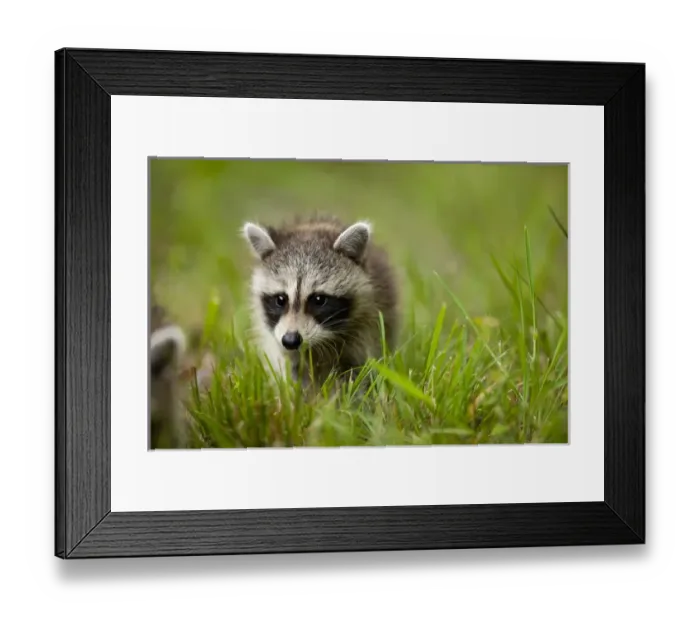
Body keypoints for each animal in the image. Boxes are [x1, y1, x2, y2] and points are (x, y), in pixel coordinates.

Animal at [242, 215, 399, 386]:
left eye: (318, 300)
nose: (291, 341)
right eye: (280, 299)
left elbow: (358, 370)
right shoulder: (278, 340)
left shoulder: (367, 325)